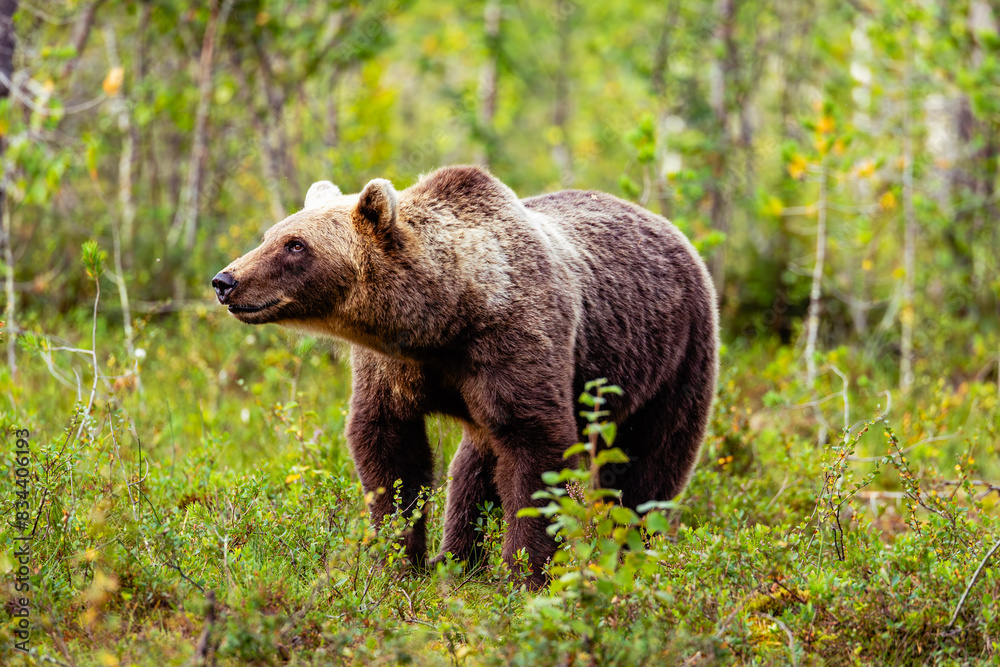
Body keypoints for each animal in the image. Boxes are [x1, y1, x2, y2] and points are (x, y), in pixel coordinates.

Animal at [213, 165, 719, 588]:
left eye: (296, 245)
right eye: (270, 234)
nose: (225, 281)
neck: (446, 319)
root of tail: (668, 226)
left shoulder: (516, 345)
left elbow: (538, 450)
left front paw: (524, 575)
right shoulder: (395, 369)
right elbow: (388, 448)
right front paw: (397, 562)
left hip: (670, 358)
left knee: (646, 467)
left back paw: (630, 553)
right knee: (474, 467)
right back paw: (456, 560)